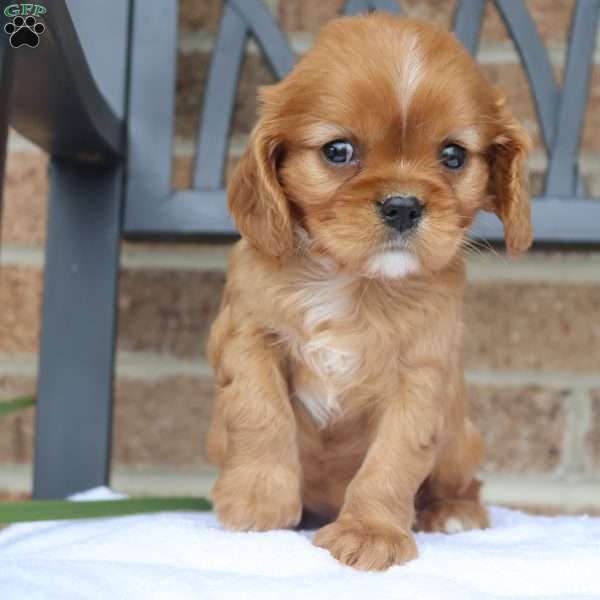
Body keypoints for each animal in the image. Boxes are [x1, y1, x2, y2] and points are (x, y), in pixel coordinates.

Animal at [206, 11, 528, 568]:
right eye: (338, 151)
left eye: (453, 155)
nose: (403, 205)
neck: (352, 279)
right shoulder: (245, 335)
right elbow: (259, 411)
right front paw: (258, 504)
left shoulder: (420, 377)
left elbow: (393, 460)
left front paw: (370, 532)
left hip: (460, 438)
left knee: (462, 481)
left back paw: (455, 513)